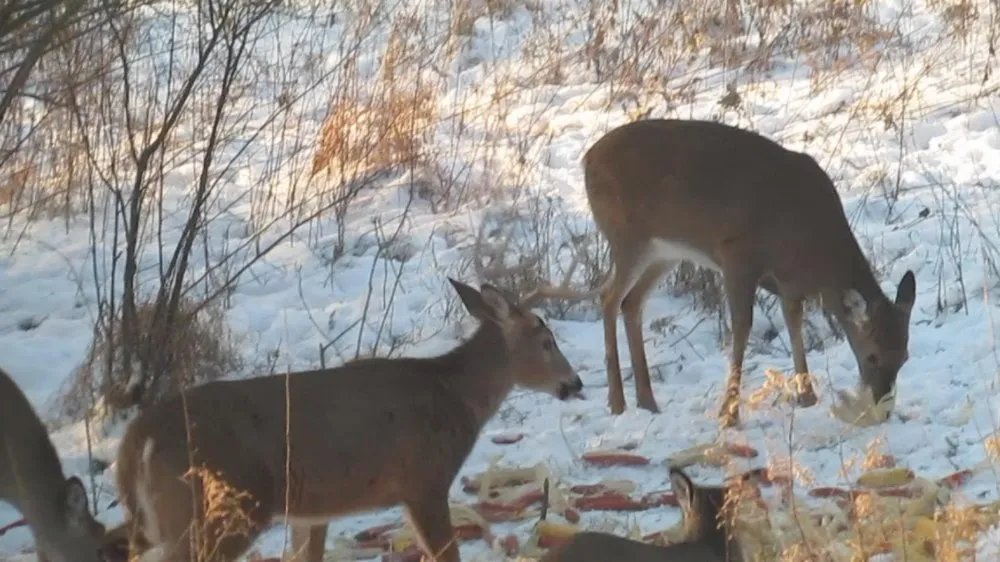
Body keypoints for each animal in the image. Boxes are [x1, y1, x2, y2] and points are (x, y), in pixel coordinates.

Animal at [111, 277, 584, 562]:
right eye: (547, 341)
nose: (575, 382)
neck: (456, 396)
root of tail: (137, 439)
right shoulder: (424, 480)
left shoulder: (311, 511)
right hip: (222, 508)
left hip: (158, 520)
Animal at [501, 118, 917, 426]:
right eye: (873, 355)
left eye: (905, 356)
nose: (883, 404)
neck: (811, 244)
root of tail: (587, 158)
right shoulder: (737, 254)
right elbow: (743, 327)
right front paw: (729, 414)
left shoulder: (788, 281)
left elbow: (794, 324)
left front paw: (807, 396)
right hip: (628, 237)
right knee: (608, 297)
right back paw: (618, 402)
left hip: (664, 251)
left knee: (631, 303)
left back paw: (647, 400)